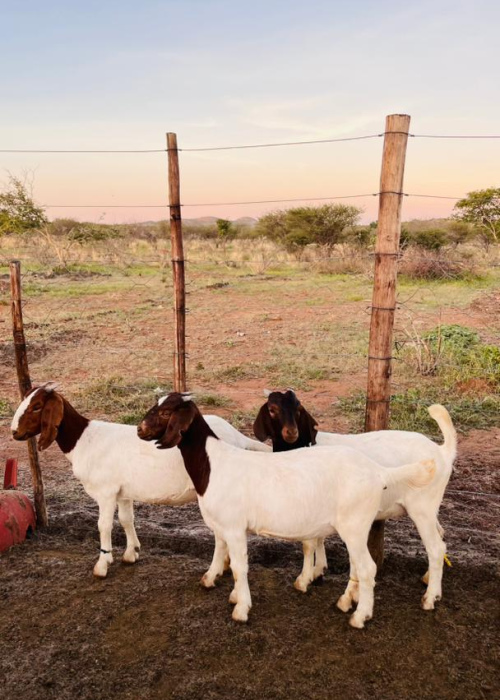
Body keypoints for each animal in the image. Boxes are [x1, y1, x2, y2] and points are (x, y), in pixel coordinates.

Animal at [11, 383, 270, 578]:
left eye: (36, 406)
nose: (14, 432)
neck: (84, 439)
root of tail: (237, 436)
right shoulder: (123, 492)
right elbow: (126, 520)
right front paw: (131, 553)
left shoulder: (105, 492)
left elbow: (103, 525)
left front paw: (102, 565)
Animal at [138, 393, 436, 627]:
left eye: (165, 412)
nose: (140, 430)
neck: (213, 463)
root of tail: (379, 472)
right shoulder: (222, 525)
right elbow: (224, 557)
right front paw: (224, 589)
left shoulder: (234, 527)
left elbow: (239, 567)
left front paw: (241, 609)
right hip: (356, 527)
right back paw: (346, 603)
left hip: (355, 524)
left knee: (368, 568)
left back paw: (361, 616)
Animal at [254, 389, 456, 592]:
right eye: (272, 409)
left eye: (298, 409)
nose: (291, 432)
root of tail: (442, 452)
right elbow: (319, 538)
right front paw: (318, 570)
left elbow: (309, 543)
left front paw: (305, 579)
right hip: (428, 508)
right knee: (440, 535)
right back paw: (428, 578)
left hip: (422, 507)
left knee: (436, 545)